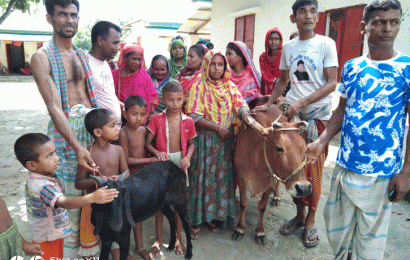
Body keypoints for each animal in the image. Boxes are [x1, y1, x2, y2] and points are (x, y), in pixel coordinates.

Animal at [231, 102, 310, 246]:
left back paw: (276, 196)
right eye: (278, 148)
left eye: (304, 147)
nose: (304, 188)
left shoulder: (270, 179)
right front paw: (240, 229)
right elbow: (244, 203)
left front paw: (259, 232)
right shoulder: (241, 174)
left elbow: (262, 206)